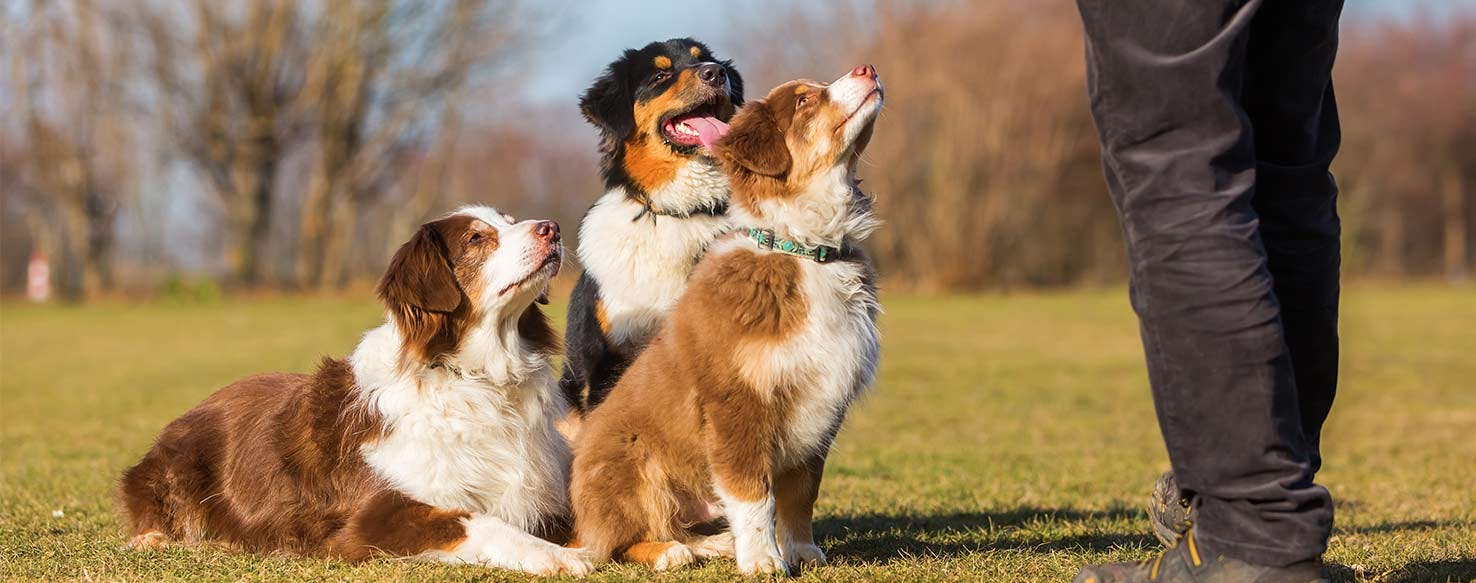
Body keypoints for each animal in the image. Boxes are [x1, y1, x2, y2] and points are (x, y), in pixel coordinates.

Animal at [116, 208, 593, 578]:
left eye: (510, 221)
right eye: (477, 238)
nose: (552, 228)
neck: (475, 377)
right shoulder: (371, 517)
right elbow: (477, 522)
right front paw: (556, 557)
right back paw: (155, 538)